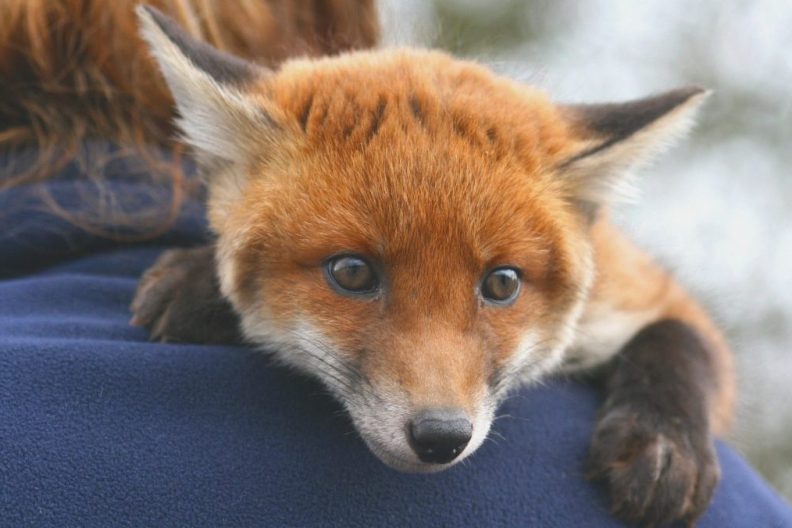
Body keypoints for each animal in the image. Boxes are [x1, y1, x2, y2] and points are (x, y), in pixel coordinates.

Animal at [0, 2, 732, 524]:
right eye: (352, 273)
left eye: (501, 284)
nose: (441, 436)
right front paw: (199, 282)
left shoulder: (636, 287)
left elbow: (684, 339)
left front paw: (663, 444)